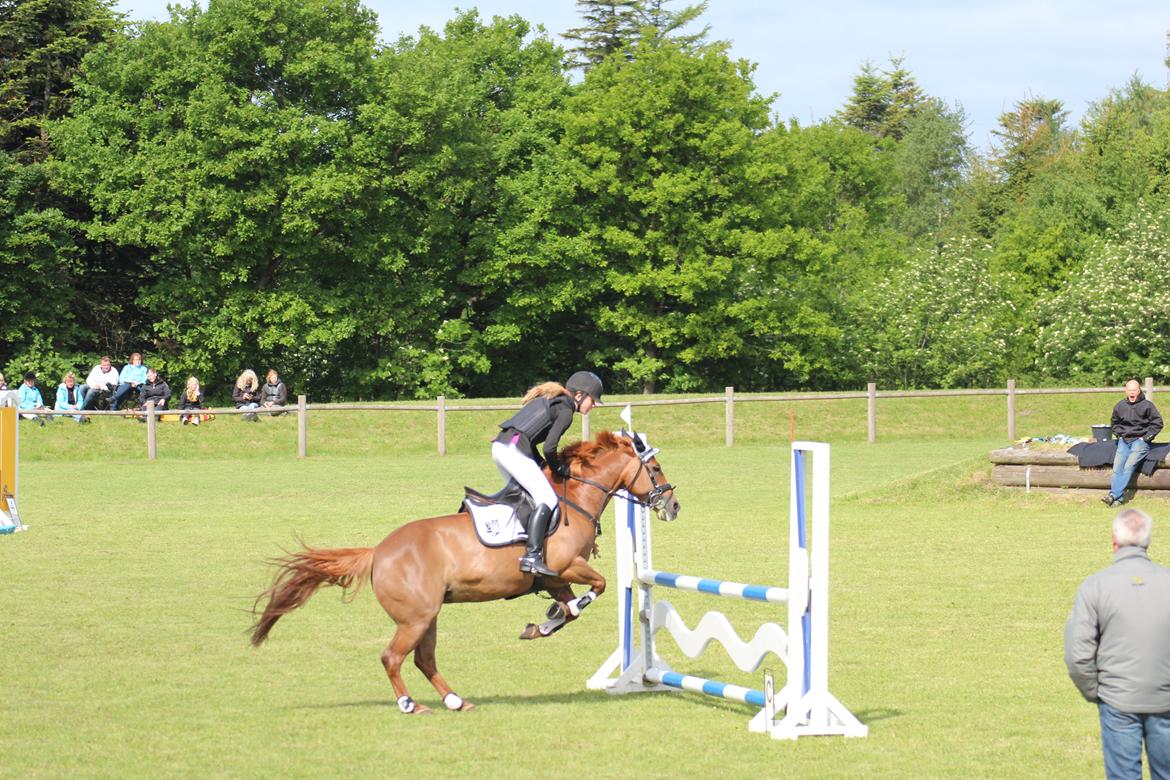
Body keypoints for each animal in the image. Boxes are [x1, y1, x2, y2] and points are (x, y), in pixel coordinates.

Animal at [251, 430, 683, 715]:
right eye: (656, 467)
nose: (673, 506)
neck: (572, 499)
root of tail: (378, 552)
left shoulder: (554, 577)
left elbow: (569, 607)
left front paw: (542, 624)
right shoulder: (564, 566)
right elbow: (598, 587)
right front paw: (554, 616)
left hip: (428, 616)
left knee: (424, 660)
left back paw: (455, 700)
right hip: (416, 617)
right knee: (393, 657)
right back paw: (411, 704)